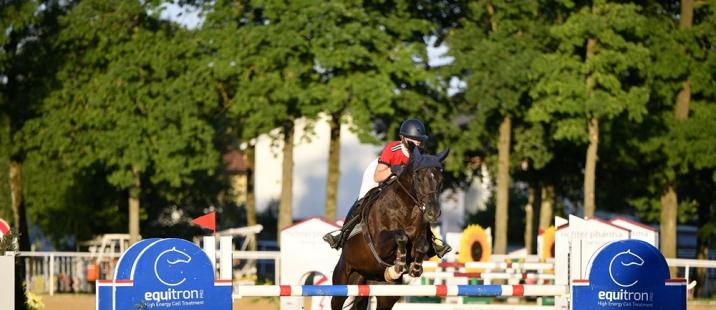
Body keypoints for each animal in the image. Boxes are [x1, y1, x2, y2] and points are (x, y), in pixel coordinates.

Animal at [330, 147, 448, 310]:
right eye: (419, 179)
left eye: (441, 180)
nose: (433, 213)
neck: (407, 209)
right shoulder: (379, 246)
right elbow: (400, 236)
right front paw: (398, 265)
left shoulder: (421, 238)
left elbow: (422, 245)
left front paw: (415, 268)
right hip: (343, 278)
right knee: (336, 300)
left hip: (385, 293)